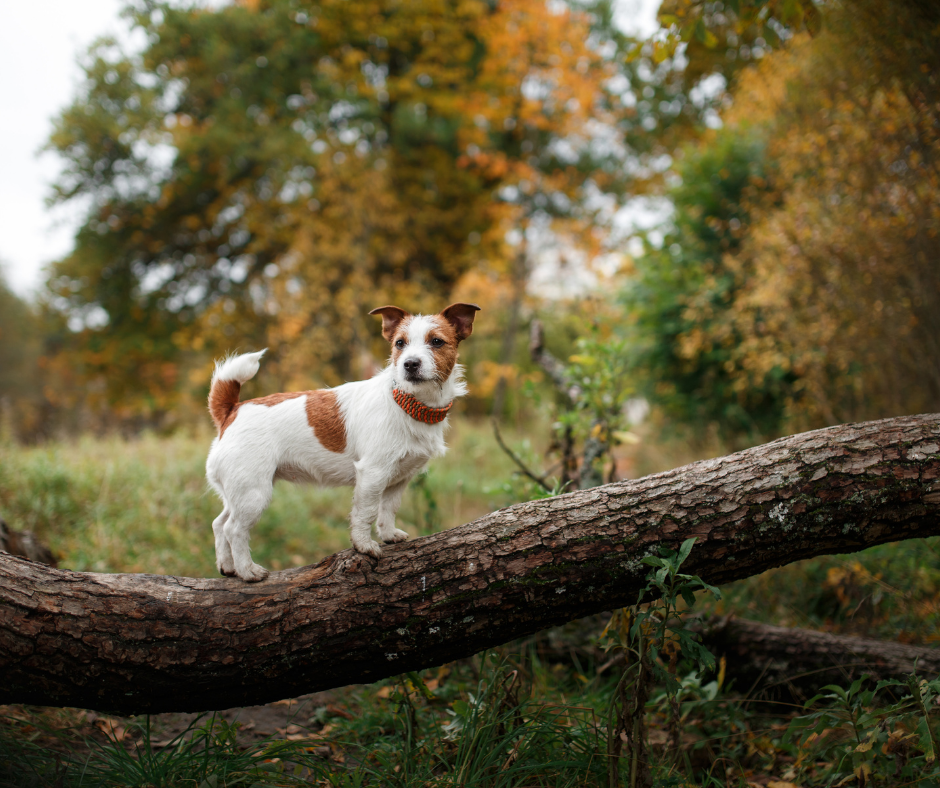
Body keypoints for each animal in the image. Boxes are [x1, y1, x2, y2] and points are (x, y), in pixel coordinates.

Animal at [208, 302, 482, 580]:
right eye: (399, 344)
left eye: (436, 342)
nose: (410, 364)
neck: (406, 402)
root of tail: (231, 410)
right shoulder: (372, 473)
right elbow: (366, 512)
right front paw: (364, 545)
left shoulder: (399, 479)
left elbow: (388, 509)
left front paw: (388, 534)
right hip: (253, 492)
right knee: (234, 529)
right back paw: (247, 570)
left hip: (239, 492)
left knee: (219, 523)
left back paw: (227, 566)